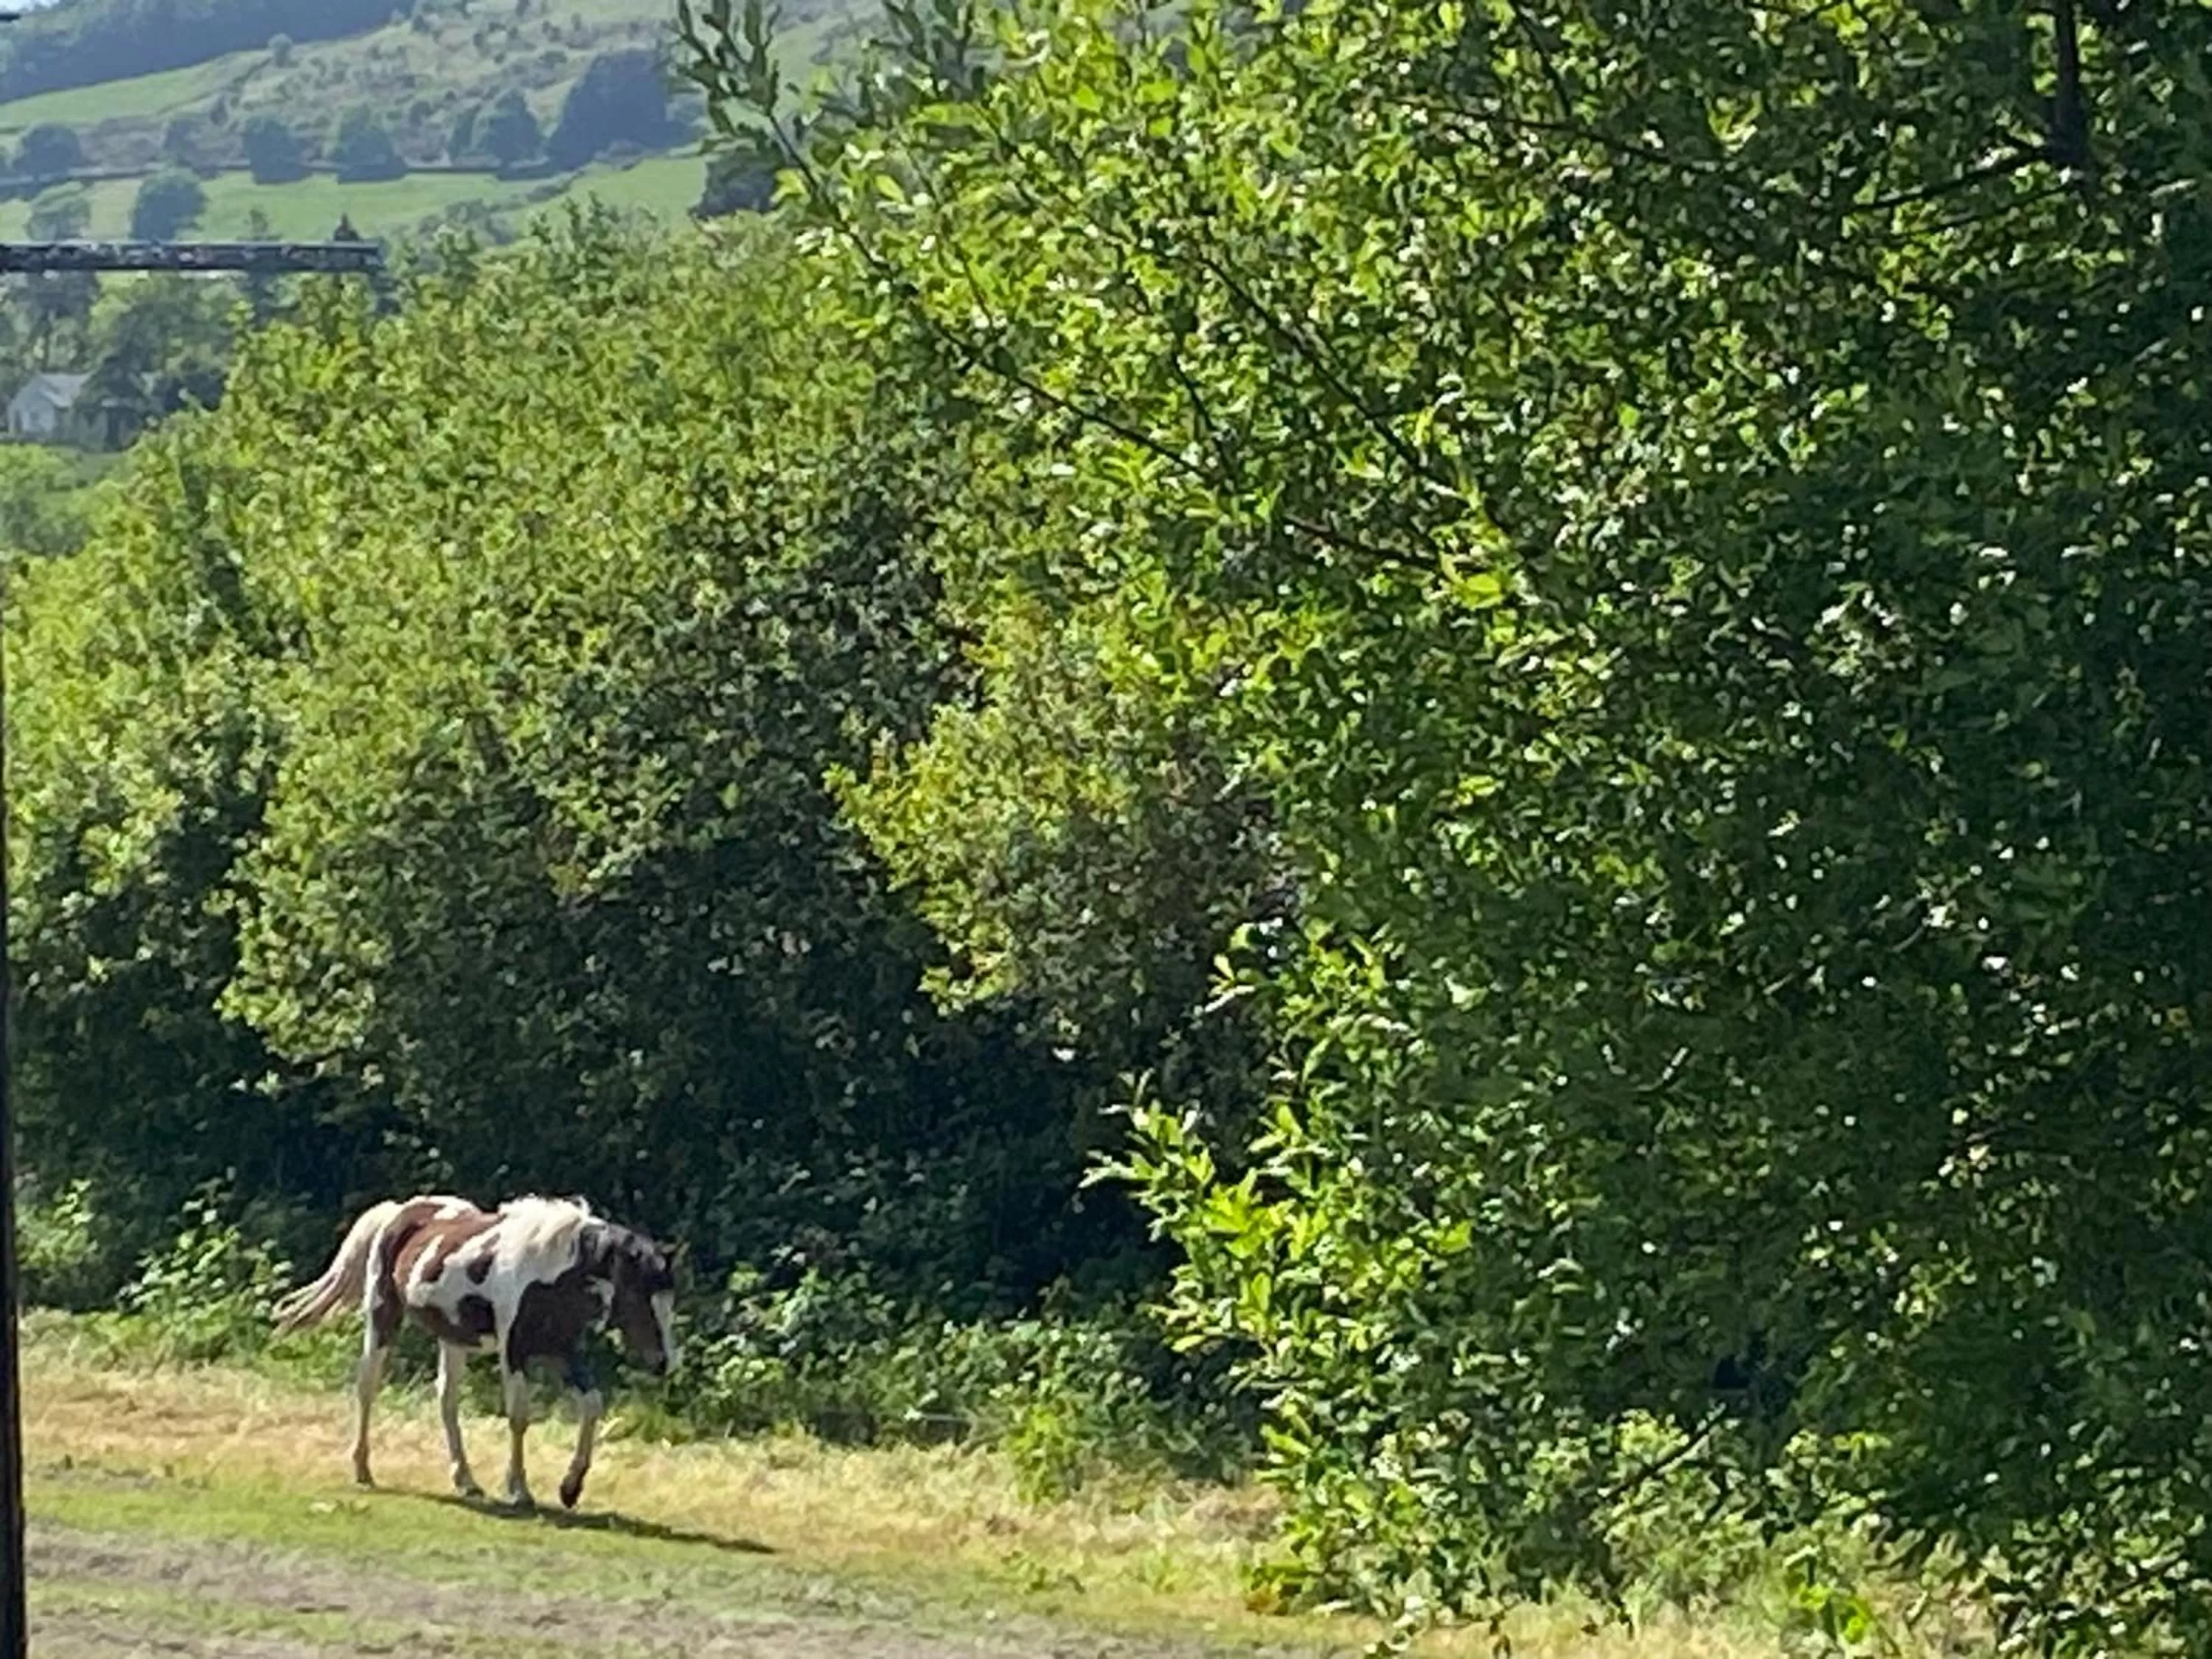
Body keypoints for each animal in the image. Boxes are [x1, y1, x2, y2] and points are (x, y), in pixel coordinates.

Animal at [272, 1192, 679, 1511]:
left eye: (667, 1299)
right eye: (639, 1297)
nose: (663, 1362)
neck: (549, 1269)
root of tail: (398, 1211)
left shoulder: (563, 1351)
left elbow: (592, 1405)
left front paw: (570, 1488)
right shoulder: (514, 1350)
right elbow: (518, 1416)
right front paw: (519, 1490)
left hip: (451, 1338)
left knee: (446, 1400)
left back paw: (466, 1481)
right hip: (382, 1316)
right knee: (368, 1386)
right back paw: (363, 1470)